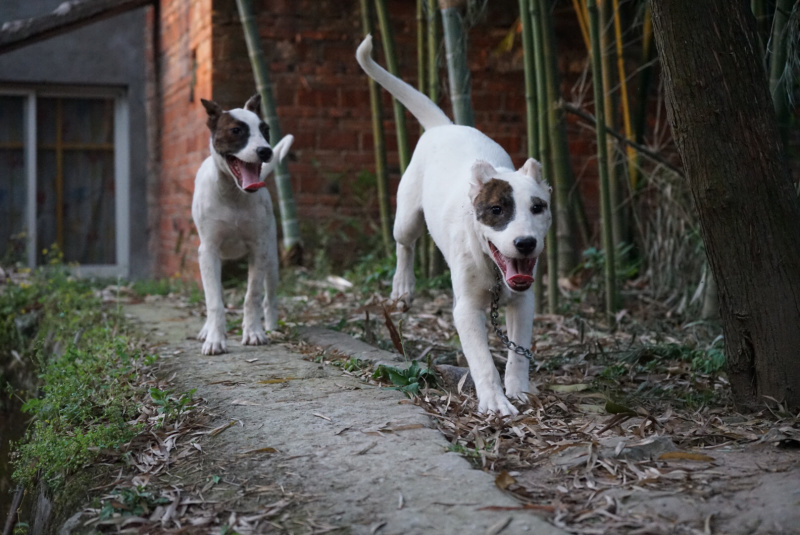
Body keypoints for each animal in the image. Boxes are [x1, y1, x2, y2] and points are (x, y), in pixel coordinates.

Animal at [193, 95, 294, 356]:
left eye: (265, 130)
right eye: (236, 131)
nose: (266, 151)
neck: (233, 194)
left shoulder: (258, 249)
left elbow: (252, 296)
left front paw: (254, 332)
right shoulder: (208, 251)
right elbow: (214, 301)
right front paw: (215, 339)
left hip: (272, 260)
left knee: (269, 297)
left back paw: (271, 326)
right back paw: (207, 329)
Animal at [356, 35, 552, 416]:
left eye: (538, 207)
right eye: (496, 210)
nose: (525, 243)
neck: (492, 267)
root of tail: (443, 126)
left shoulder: (524, 302)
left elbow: (518, 353)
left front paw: (519, 389)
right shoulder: (466, 310)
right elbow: (481, 359)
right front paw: (496, 401)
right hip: (407, 216)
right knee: (404, 244)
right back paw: (403, 287)